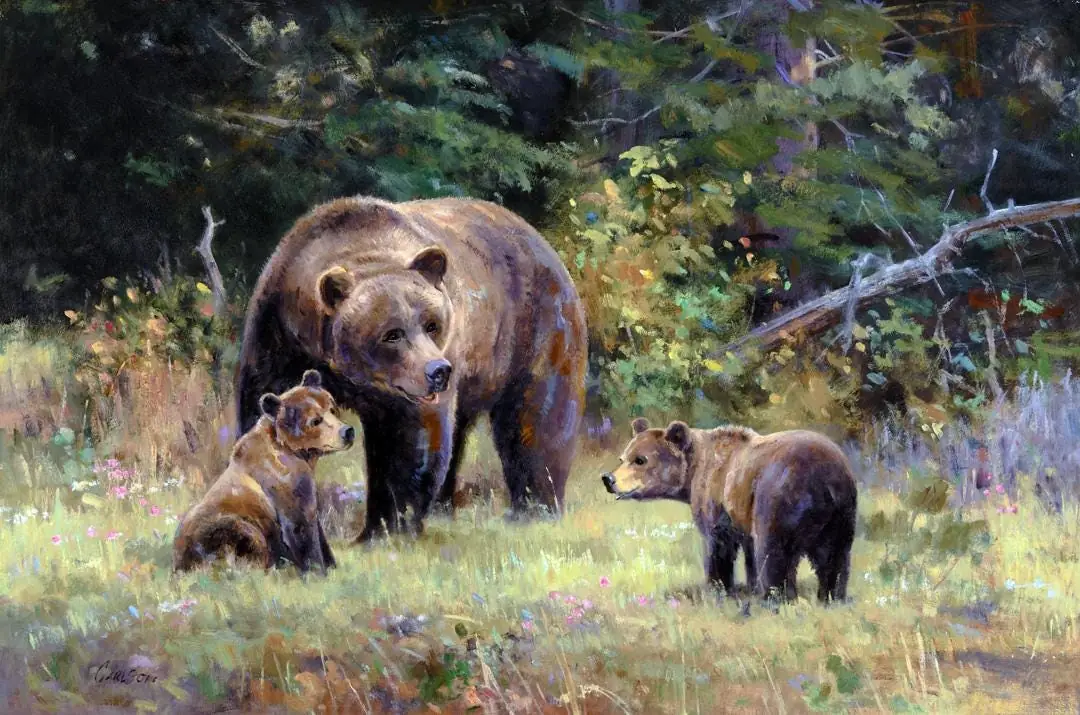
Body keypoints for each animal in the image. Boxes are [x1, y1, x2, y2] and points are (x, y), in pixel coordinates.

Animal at [174, 370, 355, 574]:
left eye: (332, 408)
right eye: (315, 420)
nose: (347, 432)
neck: (297, 452)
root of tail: (179, 564)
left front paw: (331, 565)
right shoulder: (285, 484)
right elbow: (300, 528)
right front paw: (316, 570)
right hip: (221, 529)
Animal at [234, 196, 588, 541]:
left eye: (432, 324)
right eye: (392, 333)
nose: (438, 371)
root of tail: (537, 238)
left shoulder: (412, 390)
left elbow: (412, 441)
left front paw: (384, 530)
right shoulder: (278, 338)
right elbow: (264, 405)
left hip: (537, 327)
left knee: (536, 418)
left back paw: (533, 509)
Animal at [602, 418, 857, 603]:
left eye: (640, 460)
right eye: (623, 457)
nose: (608, 479)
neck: (693, 471)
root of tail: (825, 478)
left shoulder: (718, 501)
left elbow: (719, 547)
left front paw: (719, 589)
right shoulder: (743, 512)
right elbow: (749, 551)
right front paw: (750, 587)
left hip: (778, 499)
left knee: (775, 553)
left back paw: (777, 599)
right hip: (841, 516)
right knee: (835, 559)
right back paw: (830, 598)